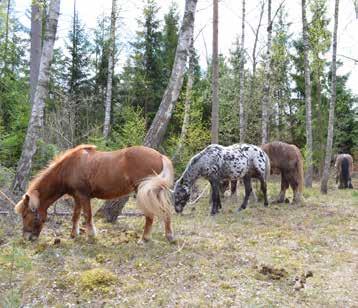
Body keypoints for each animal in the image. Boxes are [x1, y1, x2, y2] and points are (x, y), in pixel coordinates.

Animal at [14, 144, 174, 243]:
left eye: (25, 215)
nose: (26, 237)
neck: (69, 168)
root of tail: (160, 155)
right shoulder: (77, 198)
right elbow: (75, 216)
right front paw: (74, 235)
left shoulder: (84, 196)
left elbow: (87, 215)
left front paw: (91, 236)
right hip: (156, 192)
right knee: (165, 212)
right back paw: (169, 237)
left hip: (144, 192)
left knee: (150, 215)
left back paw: (144, 239)